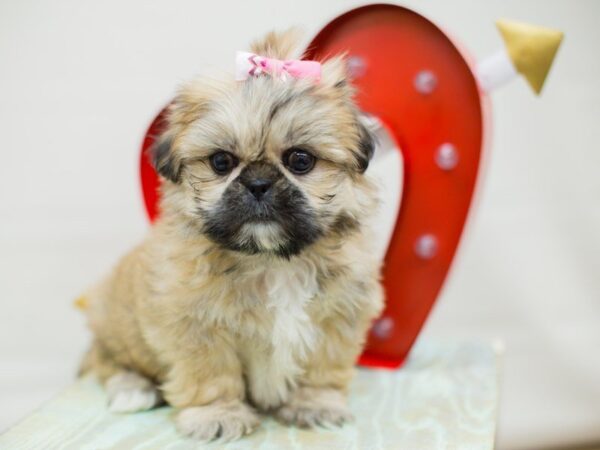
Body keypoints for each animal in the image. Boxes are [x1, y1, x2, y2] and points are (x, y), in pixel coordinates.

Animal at [78, 29, 384, 442]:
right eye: (221, 162)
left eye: (300, 160)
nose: (258, 184)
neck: (270, 261)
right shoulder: (195, 323)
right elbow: (211, 374)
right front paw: (217, 414)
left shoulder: (339, 314)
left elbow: (323, 367)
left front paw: (315, 403)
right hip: (115, 322)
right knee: (105, 358)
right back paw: (132, 389)